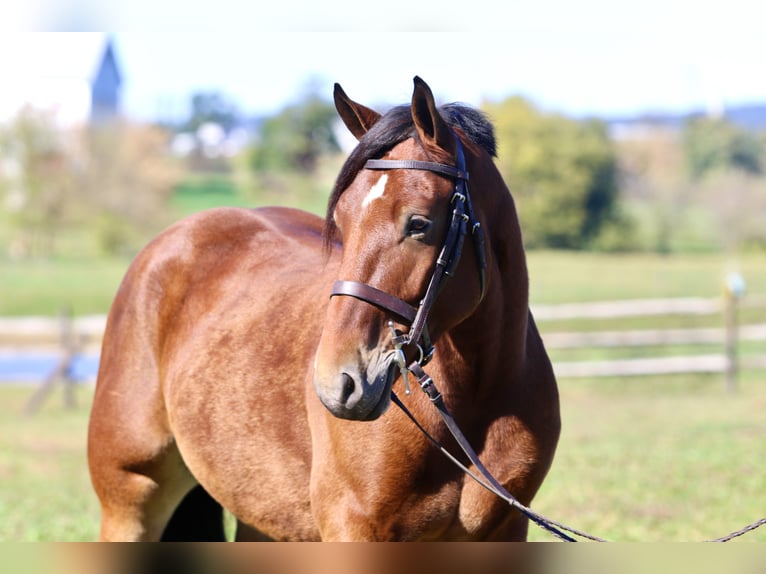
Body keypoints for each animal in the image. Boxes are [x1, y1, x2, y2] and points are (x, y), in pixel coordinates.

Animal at [87, 77, 561, 541]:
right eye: (343, 224)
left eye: (418, 223)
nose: (339, 383)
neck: (475, 399)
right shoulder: (354, 528)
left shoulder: (507, 529)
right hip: (130, 502)